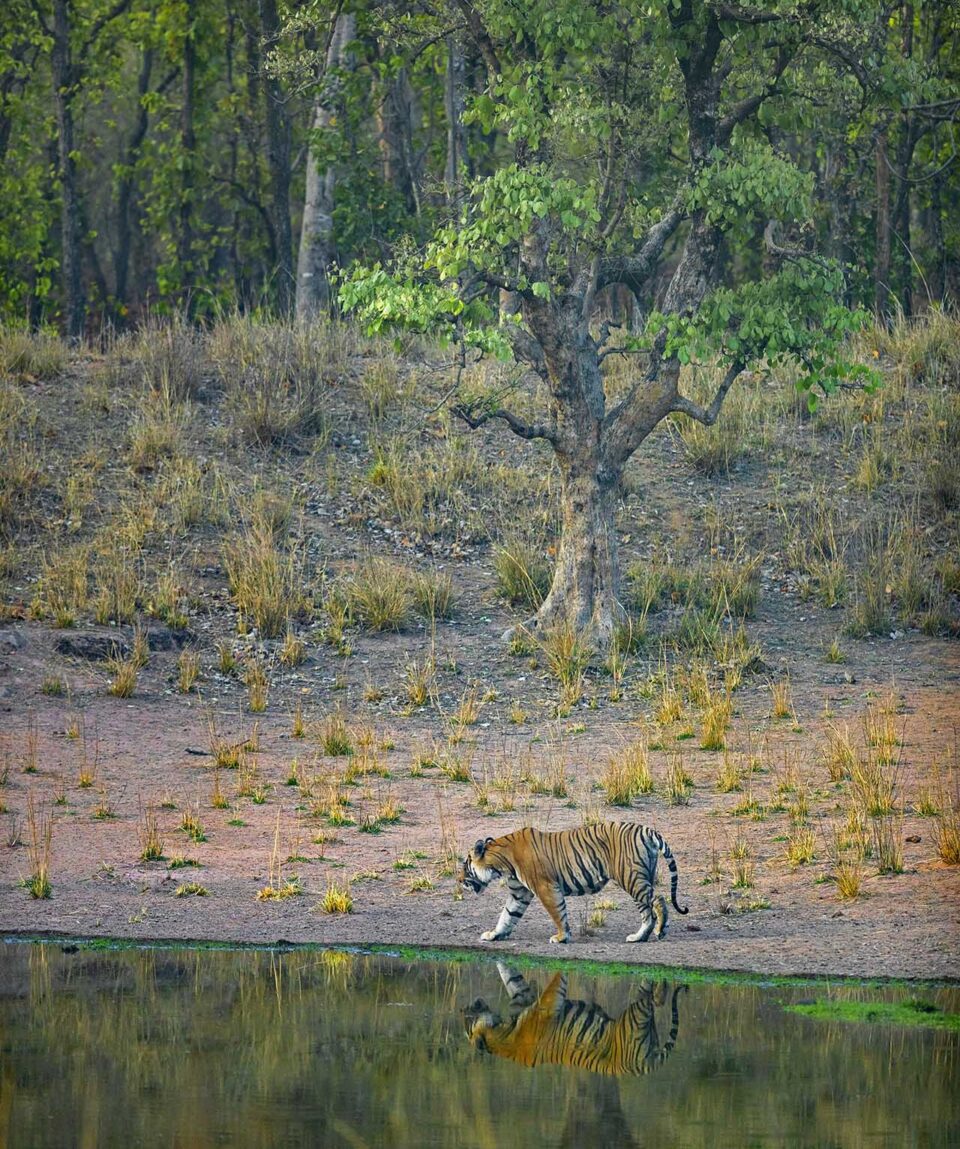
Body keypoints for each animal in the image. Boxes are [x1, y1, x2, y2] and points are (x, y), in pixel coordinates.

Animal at [459, 822, 688, 946]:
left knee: (657, 900)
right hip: (639, 878)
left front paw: (561, 937)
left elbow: (557, 913)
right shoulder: (519, 892)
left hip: (631, 878)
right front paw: (494, 934)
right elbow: (507, 915)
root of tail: (646, 830)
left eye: (465, 865)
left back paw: (655, 932)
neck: (501, 863)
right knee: (650, 909)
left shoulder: (545, 887)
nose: (459, 881)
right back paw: (645, 935)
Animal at [463, 965, 684, 1080]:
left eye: (468, 1022)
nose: (465, 1007)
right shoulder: (547, 1002)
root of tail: (645, 1066)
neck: (503, 1035)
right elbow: (556, 981)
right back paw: (661, 987)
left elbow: (514, 982)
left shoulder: (530, 1001)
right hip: (636, 1015)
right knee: (651, 996)